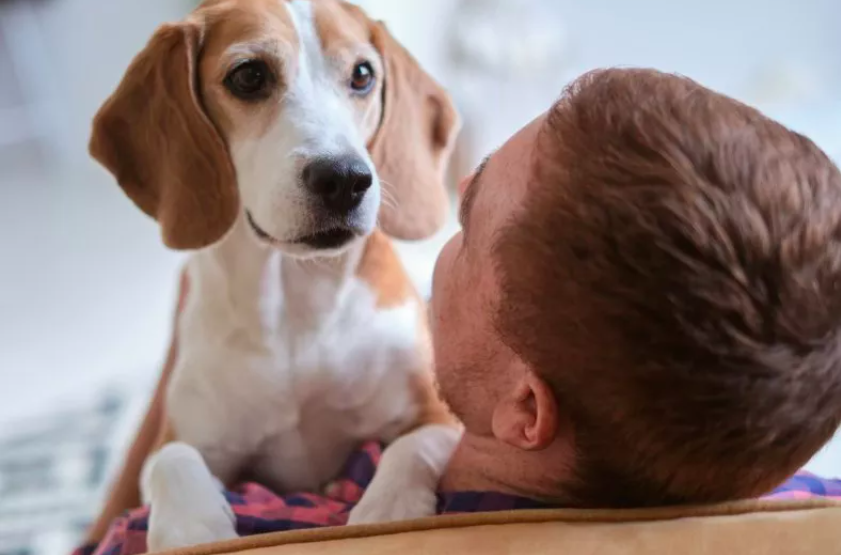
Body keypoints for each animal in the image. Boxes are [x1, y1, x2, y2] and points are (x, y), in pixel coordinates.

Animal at [88, 0, 462, 552]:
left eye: (363, 75)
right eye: (248, 76)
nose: (344, 178)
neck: (297, 304)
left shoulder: (439, 416)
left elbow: (411, 449)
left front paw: (388, 511)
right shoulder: (183, 440)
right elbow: (173, 462)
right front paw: (193, 531)